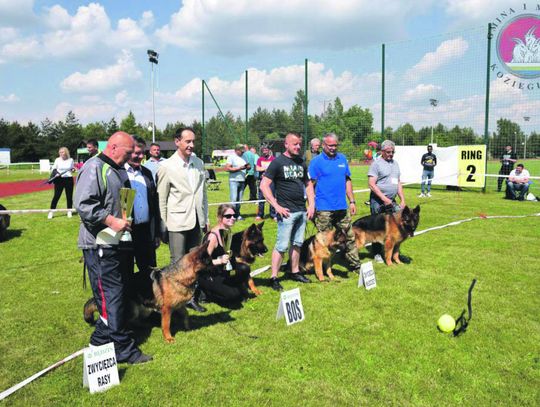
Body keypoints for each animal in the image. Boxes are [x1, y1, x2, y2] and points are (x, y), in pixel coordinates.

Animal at [83, 242, 212, 344]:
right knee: (128, 321)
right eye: (210, 263)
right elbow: (166, 324)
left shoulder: (178, 305)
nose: (218, 270)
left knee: (137, 321)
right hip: (134, 309)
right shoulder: (167, 309)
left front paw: (187, 327)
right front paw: (168, 338)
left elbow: (186, 314)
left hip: (146, 309)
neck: (179, 277)